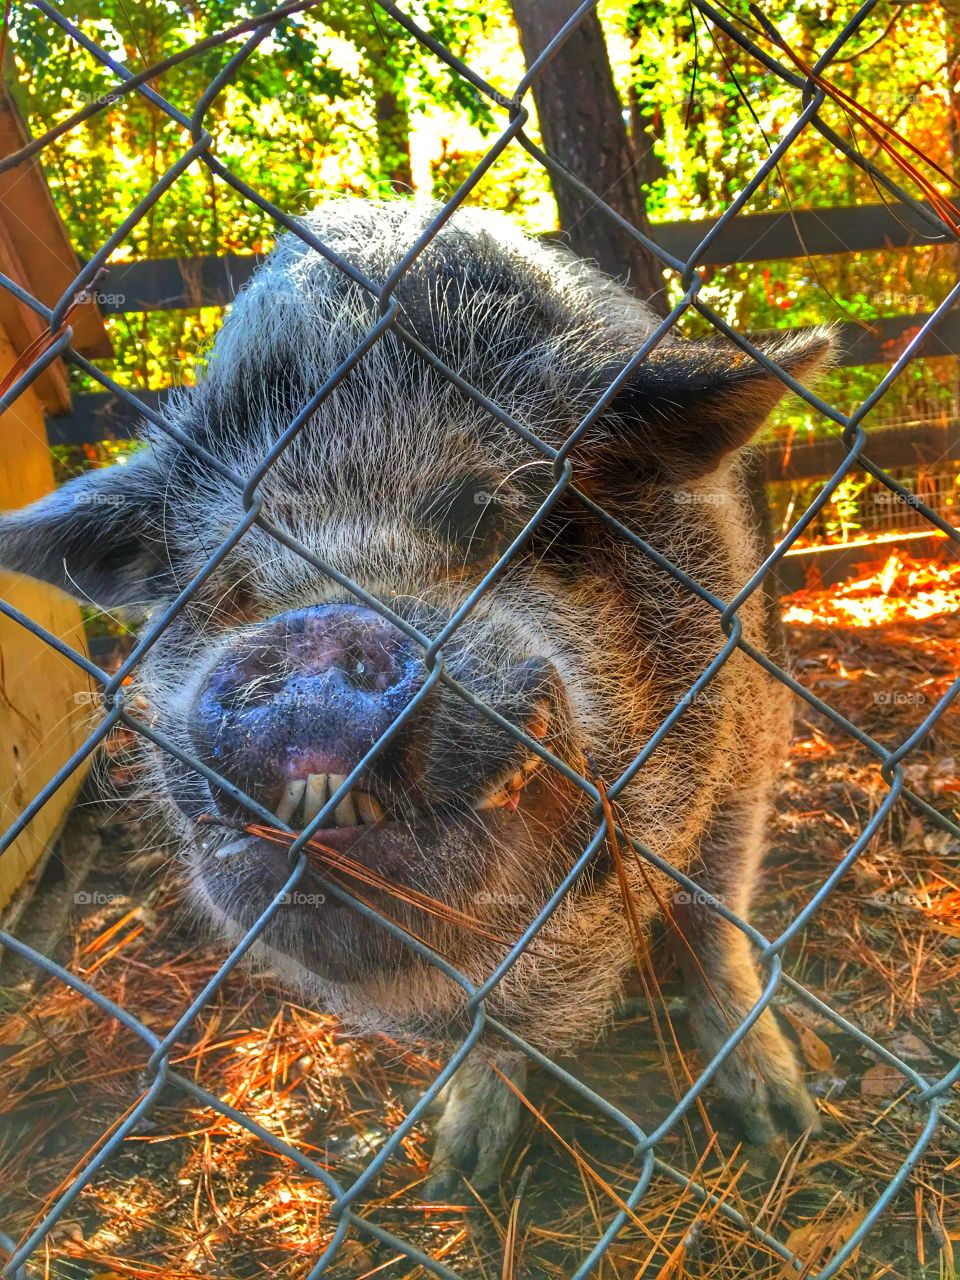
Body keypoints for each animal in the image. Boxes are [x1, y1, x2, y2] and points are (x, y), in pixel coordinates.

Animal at [0, 199, 828, 1192]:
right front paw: (460, 1176)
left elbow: (713, 918)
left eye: (493, 515)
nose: (313, 635)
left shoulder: (746, 736)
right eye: (224, 580)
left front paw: (781, 1127)